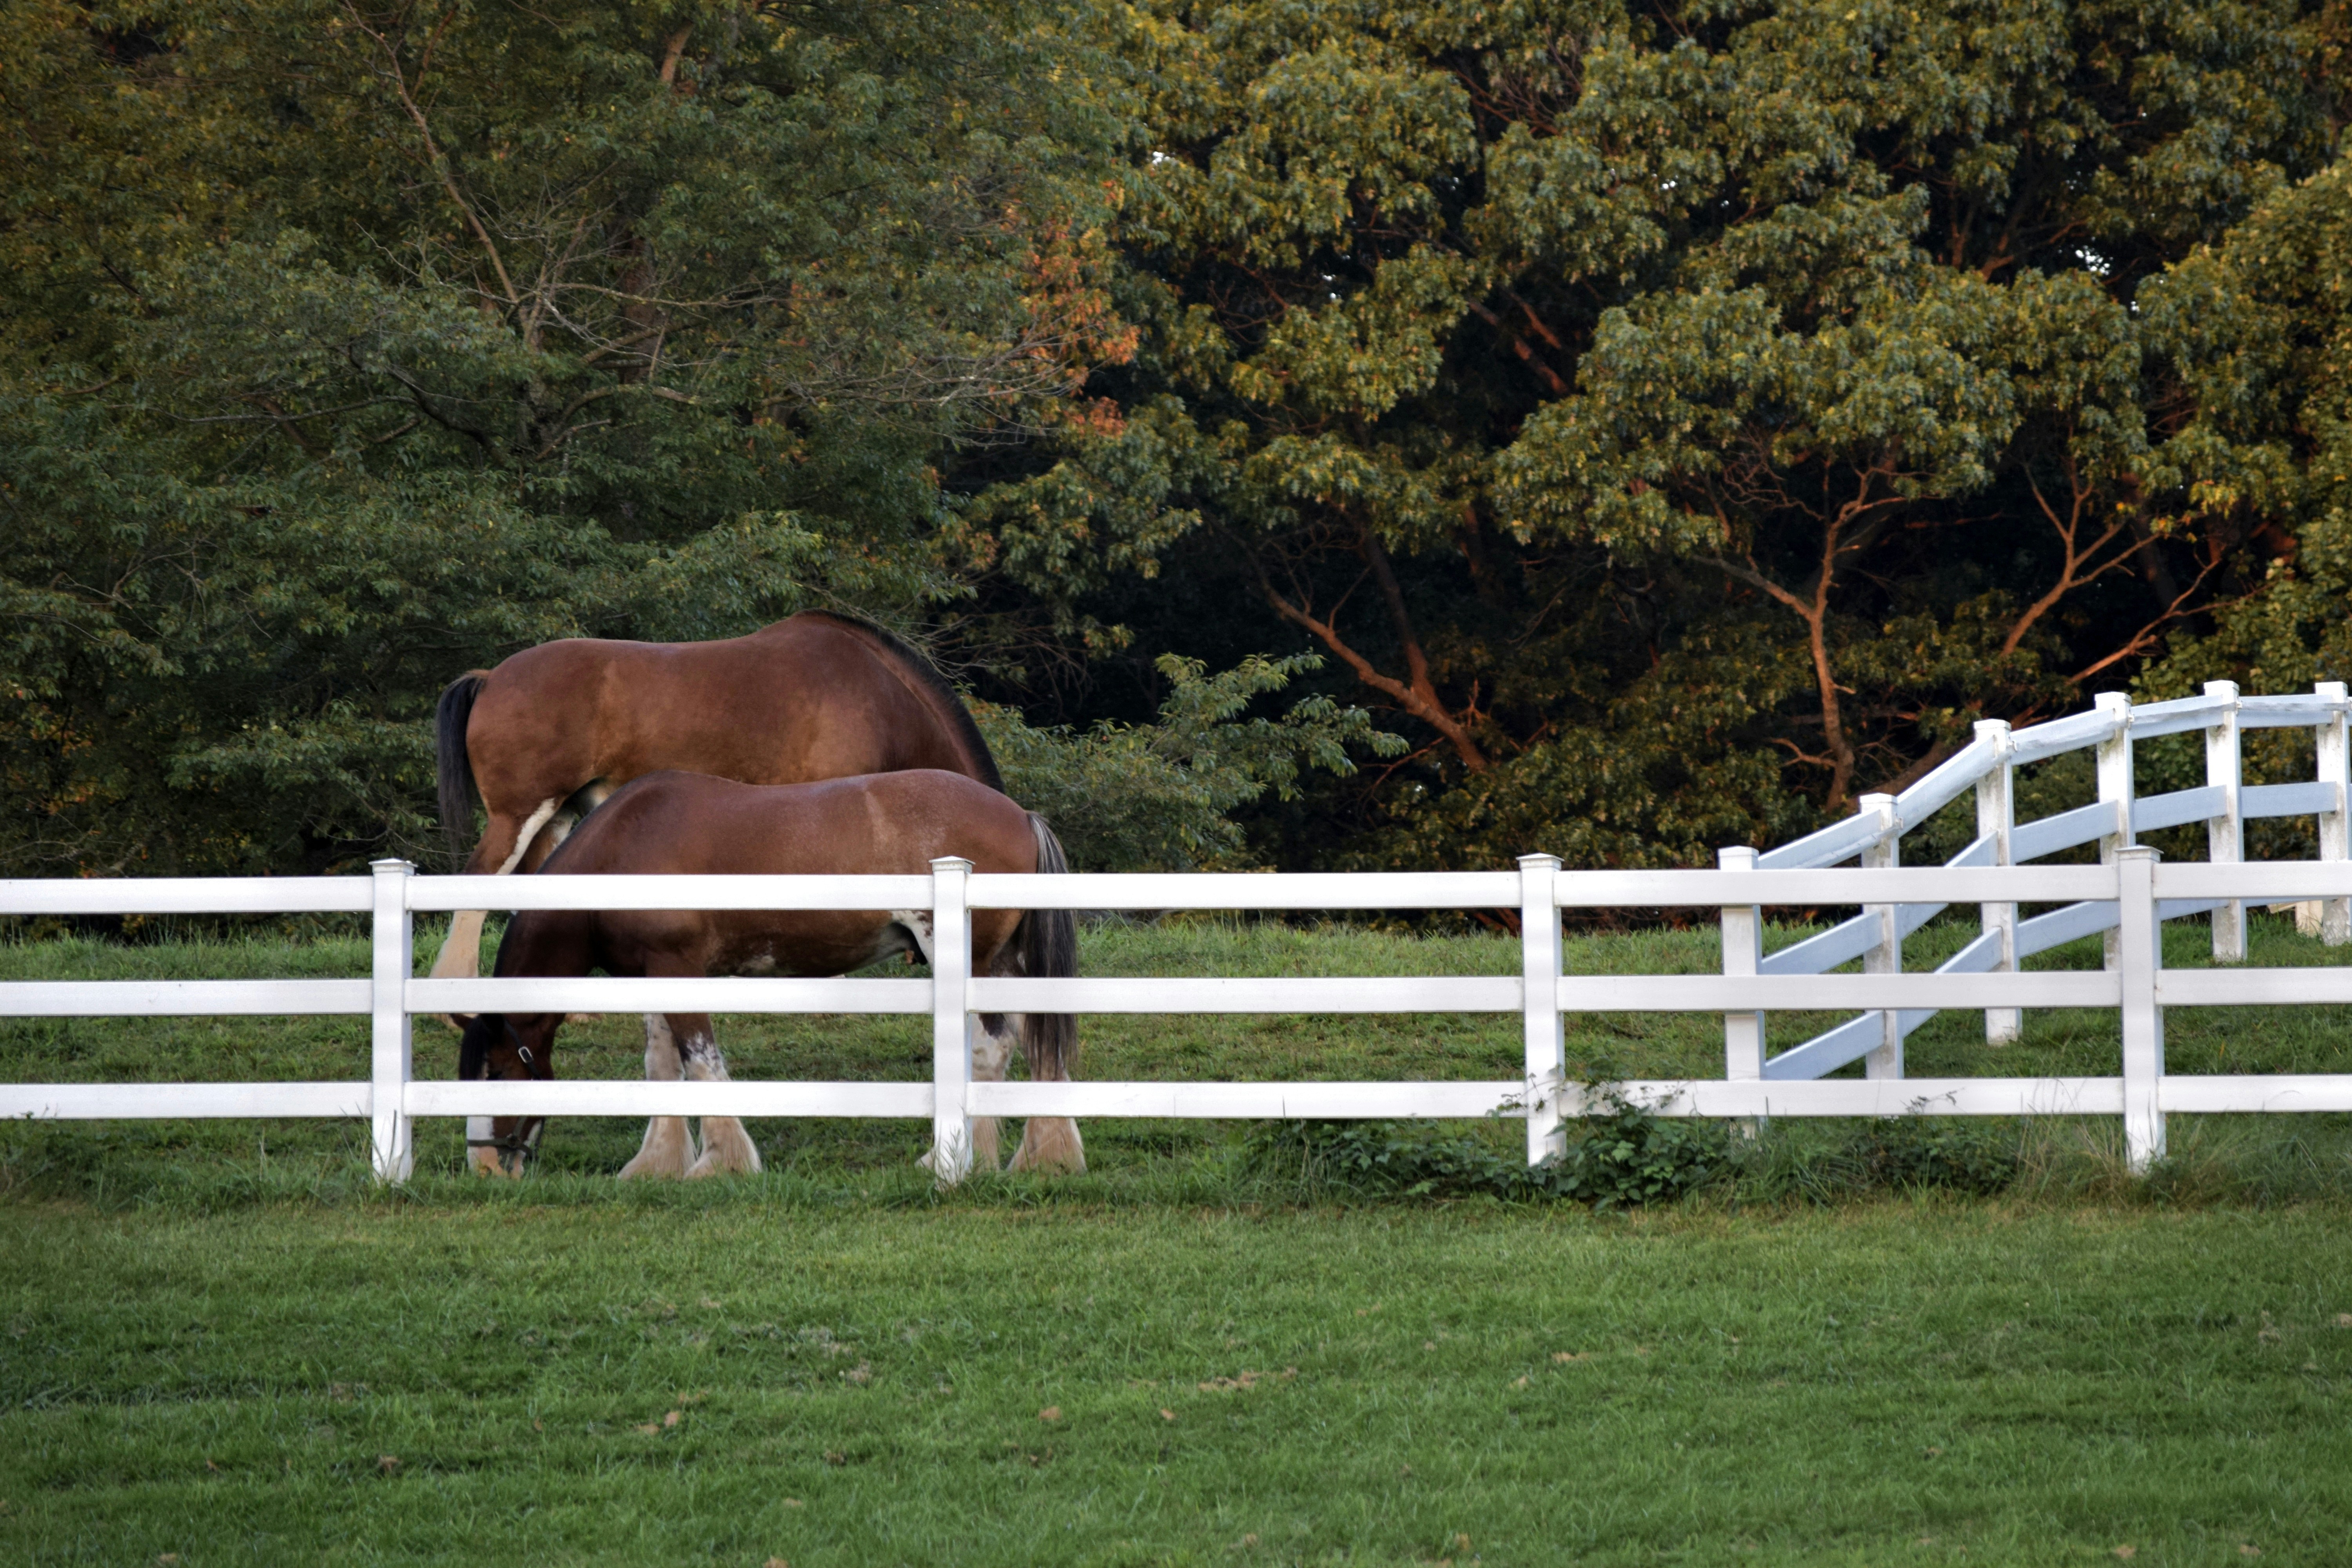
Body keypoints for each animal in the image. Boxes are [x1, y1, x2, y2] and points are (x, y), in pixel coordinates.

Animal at [456, 766, 1082, 1185]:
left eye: (497, 1071)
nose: (484, 1164)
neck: (623, 851)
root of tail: (1019, 815)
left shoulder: (680, 970)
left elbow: (701, 1062)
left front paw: (722, 1163)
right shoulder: (653, 974)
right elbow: (663, 1067)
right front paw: (658, 1164)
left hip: (967, 960)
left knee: (991, 1045)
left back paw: (958, 1159)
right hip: (1004, 965)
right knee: (1035, 1045)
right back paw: (1043, 1154)